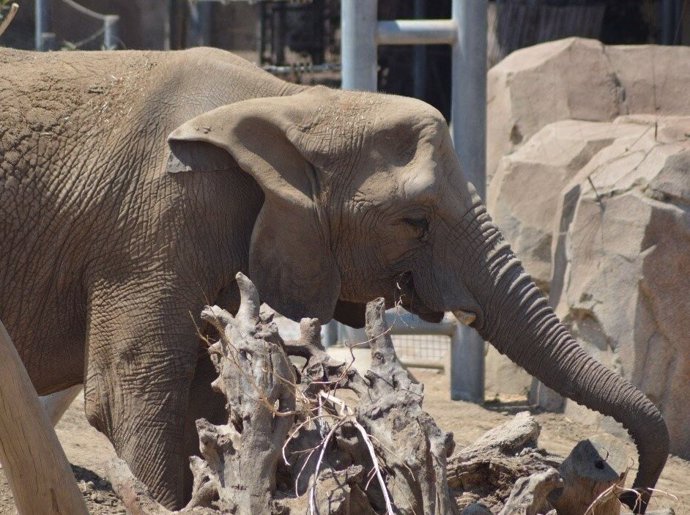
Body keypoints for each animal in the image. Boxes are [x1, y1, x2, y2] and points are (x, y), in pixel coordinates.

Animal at [0, 47, 668, 512]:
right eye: (414, 221)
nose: (630, 494)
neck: (291, 101)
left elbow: (209, 399)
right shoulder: (154, 223)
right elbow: (130, 397)